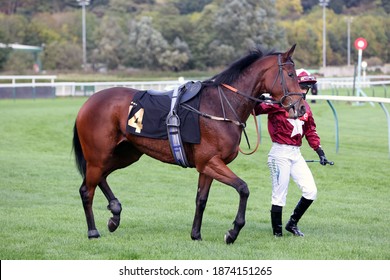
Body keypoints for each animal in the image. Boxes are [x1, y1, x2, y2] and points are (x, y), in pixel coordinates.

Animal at [72, 43, 304, 243]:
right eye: (290, 74)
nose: (301, 107)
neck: (221, 106)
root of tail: (88, 103)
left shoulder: (207, 166)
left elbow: (201, 199)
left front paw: (196, 234)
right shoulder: (211, 162)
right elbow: (243, 188)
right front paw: (233, 231)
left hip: (126, 154)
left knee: (100, 177)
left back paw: (115, 213)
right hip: (99, 156)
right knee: (86, 190)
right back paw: (93, 231)